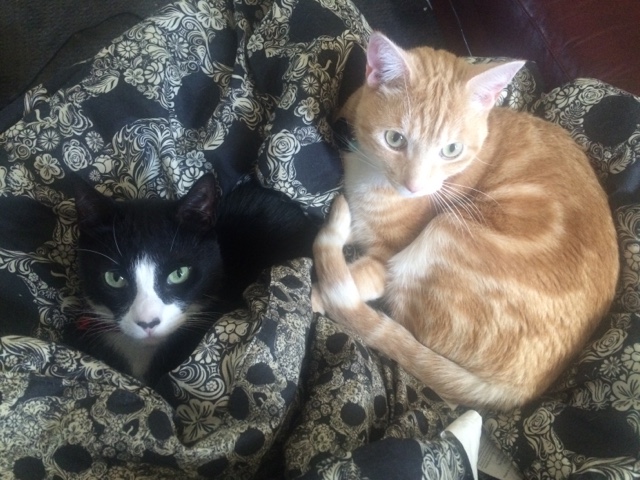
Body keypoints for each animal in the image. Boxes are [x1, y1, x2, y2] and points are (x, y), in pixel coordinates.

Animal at [312, 32, 620, 411]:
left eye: (451, 150)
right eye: (395, 139)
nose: (415, 186)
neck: (370, 177)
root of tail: (520, 389)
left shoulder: (386, 258)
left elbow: (357, 276)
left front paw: (317, 293)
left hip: (443, 234)